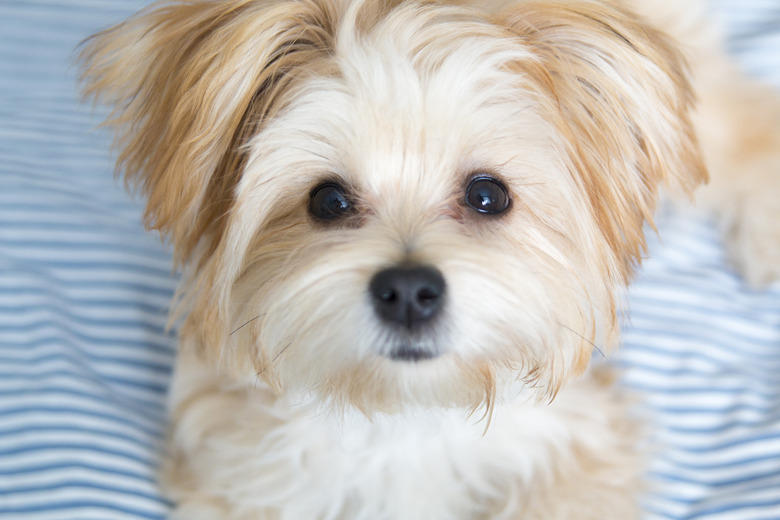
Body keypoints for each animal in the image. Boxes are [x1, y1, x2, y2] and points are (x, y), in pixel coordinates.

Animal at [79, 0, 780, 516]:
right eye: (328, 200)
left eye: (487, 196)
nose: (409, 290)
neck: (404, 416)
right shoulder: (232, 471)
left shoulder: (584, 440)